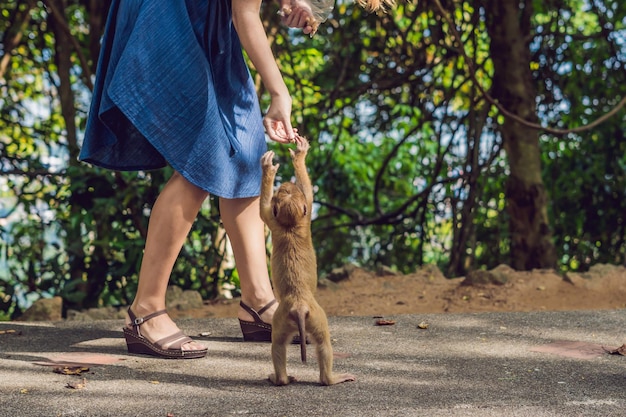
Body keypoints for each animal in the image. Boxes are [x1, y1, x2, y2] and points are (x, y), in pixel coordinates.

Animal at [258, 135, 354, 386]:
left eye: (287, 190)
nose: (286, 183)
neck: (291, 225)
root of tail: (300, 305)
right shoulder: (305, 210)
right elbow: (305, 193)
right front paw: (292, 160)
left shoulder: (285, 217)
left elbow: (265, 208)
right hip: (310, 317)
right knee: (321, 343)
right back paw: (326, 378)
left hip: (288, 318)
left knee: (280, 345)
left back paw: (282, 378)